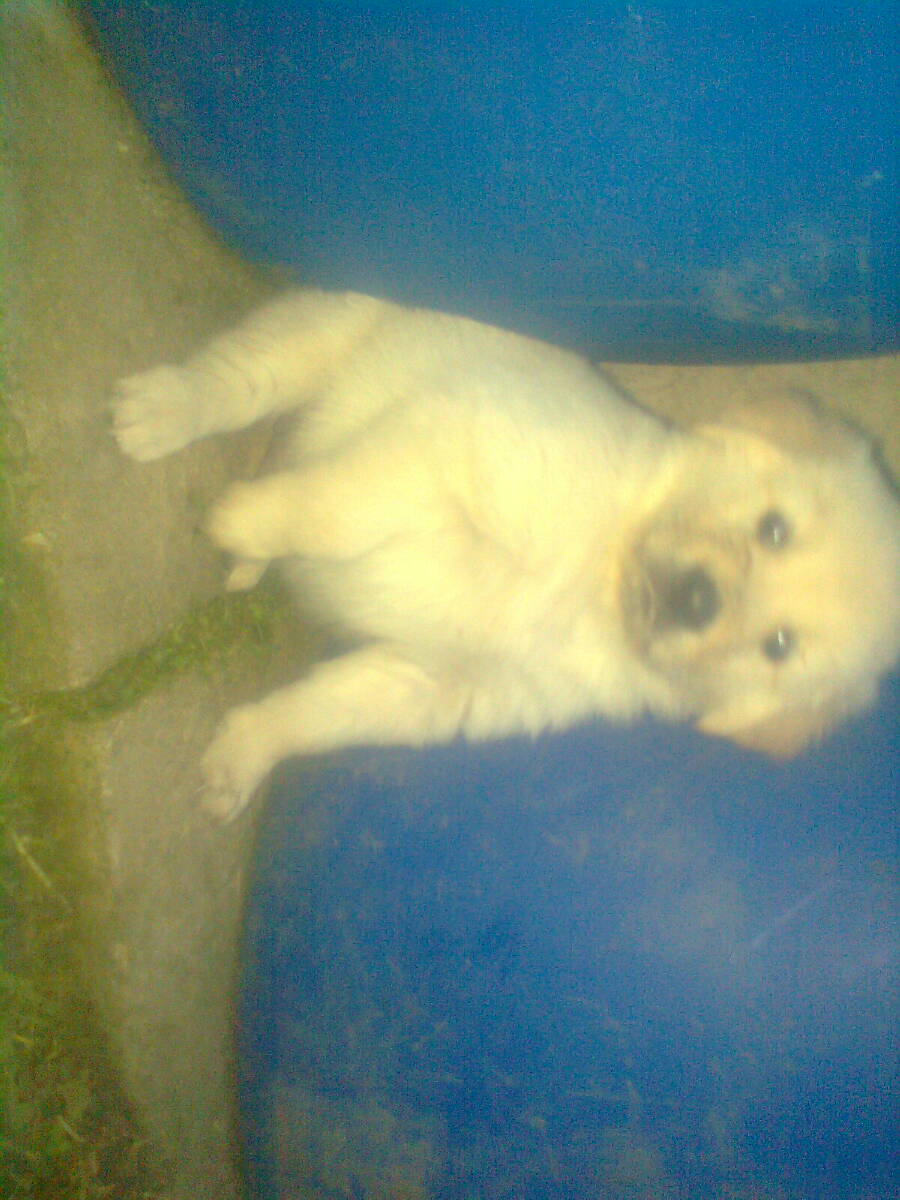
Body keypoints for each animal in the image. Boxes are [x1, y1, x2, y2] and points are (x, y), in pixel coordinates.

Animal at [112, 290, 900, 819]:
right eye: (774, 529)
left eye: (778, 645)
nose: (697, 599)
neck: (597, 580)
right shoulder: (449, 441)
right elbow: (329, 510)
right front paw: (246, 521)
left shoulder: (441, 685)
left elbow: (320, 712)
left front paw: (244, 754)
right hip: (329, 332)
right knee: (239, 379)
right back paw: (161, 412)